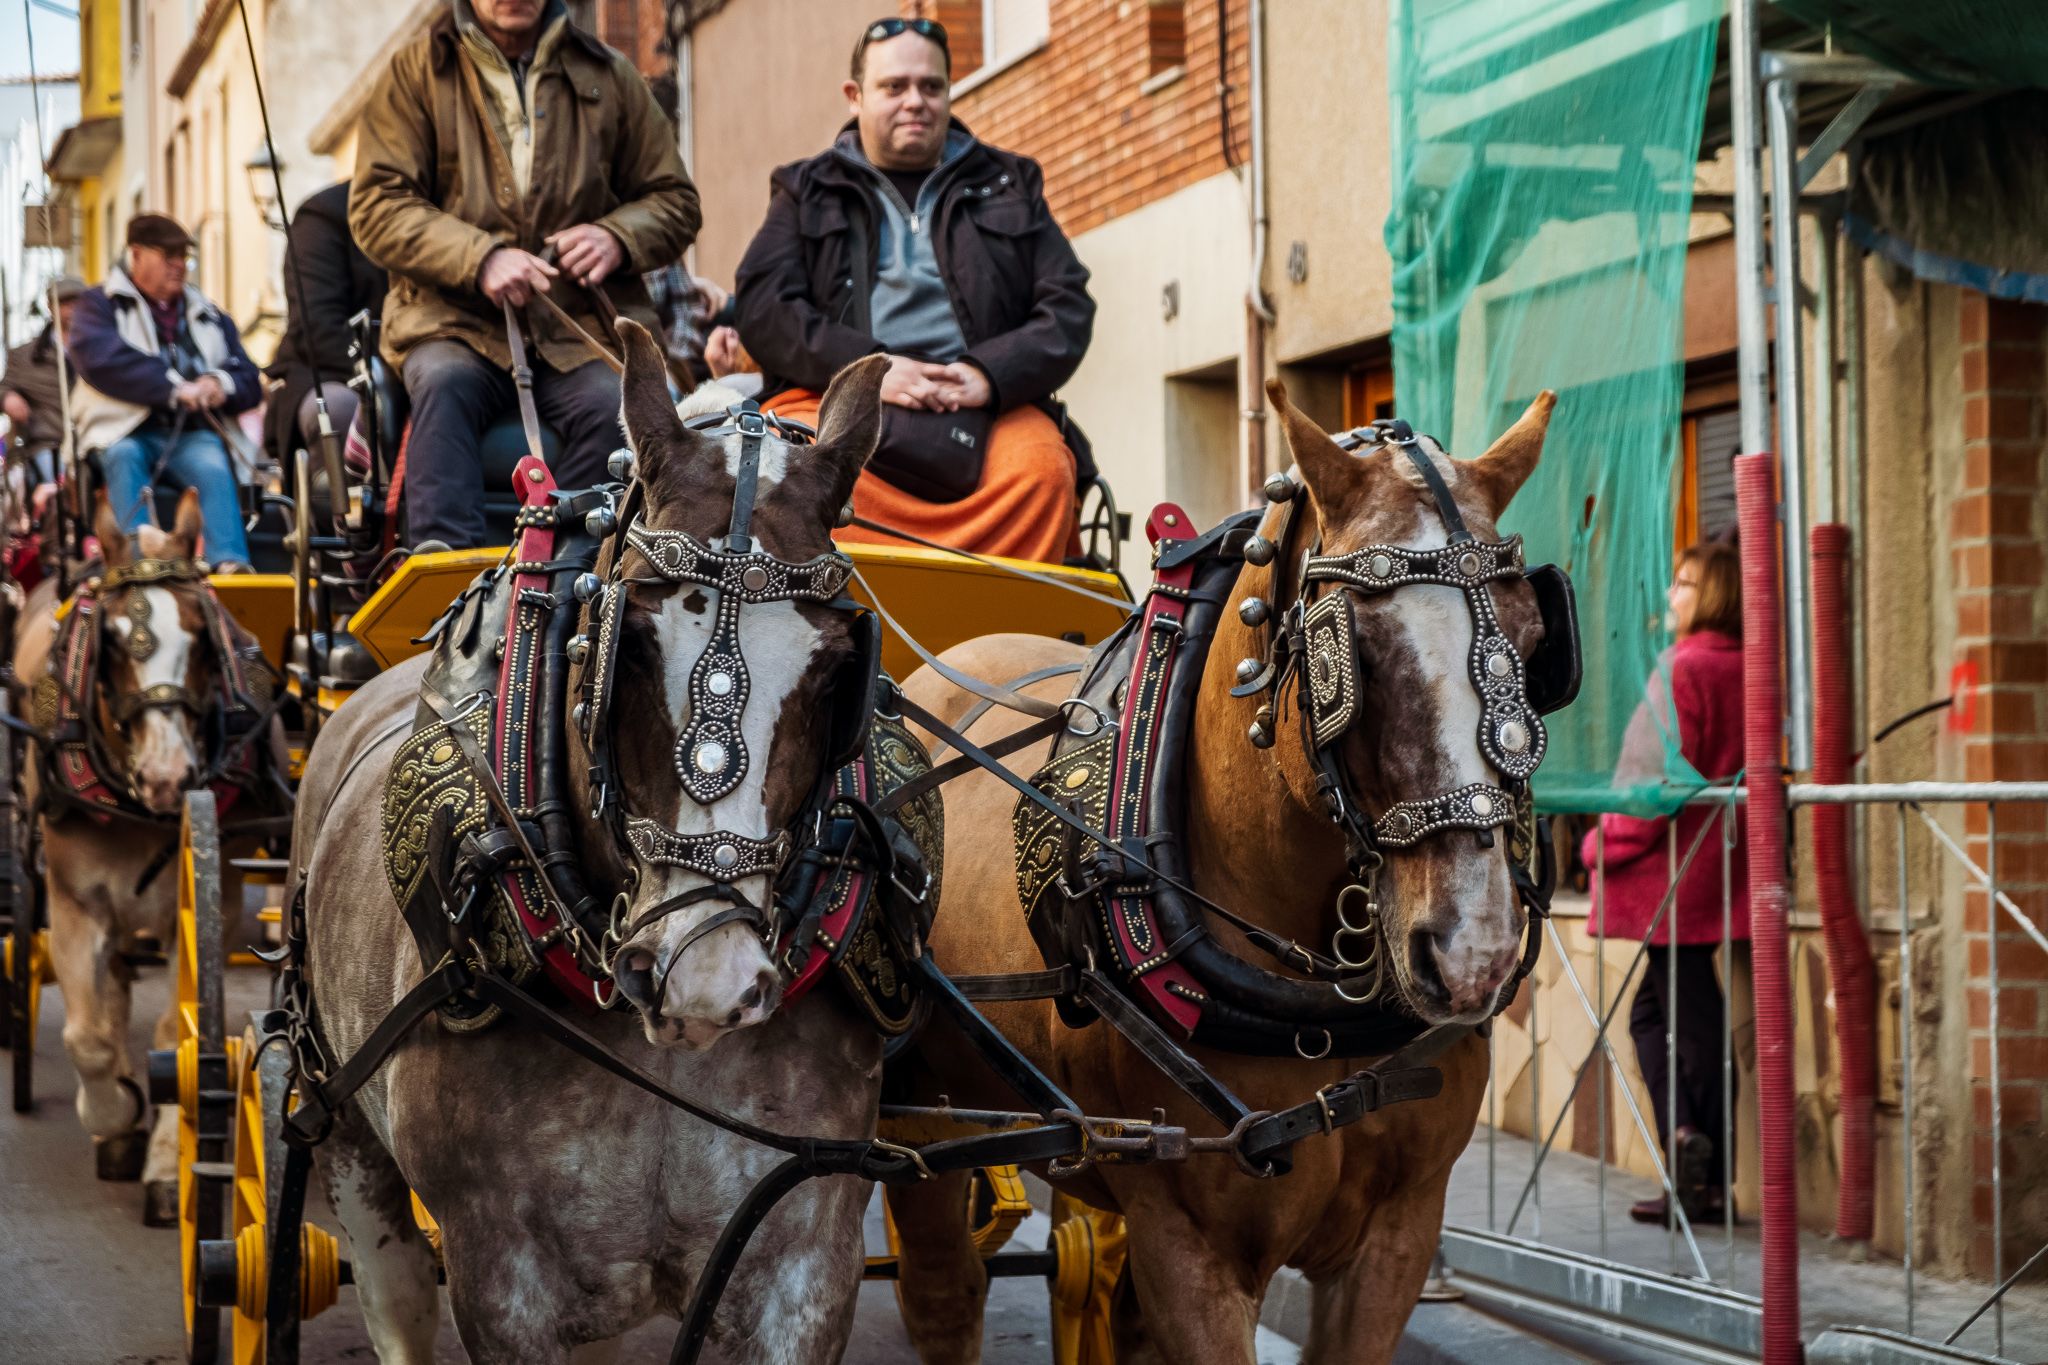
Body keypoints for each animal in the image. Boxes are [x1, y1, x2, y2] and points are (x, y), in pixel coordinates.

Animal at [14, 497, 288, 1219]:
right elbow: (85, 1037)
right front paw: (113, 1115)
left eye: (202, 636)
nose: (169, 777)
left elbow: (174, 1033)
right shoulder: (75, 903)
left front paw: (165, 1162)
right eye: (110, 642)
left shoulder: (199, 904)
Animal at [888, 378, 1556, 1358]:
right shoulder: (1188, 1248)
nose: (1474, 952)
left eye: (1539, 640)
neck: (1313, 1017)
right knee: (942, 1291)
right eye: (1350, 651)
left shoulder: (1398, 1236)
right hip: (920, 1117)